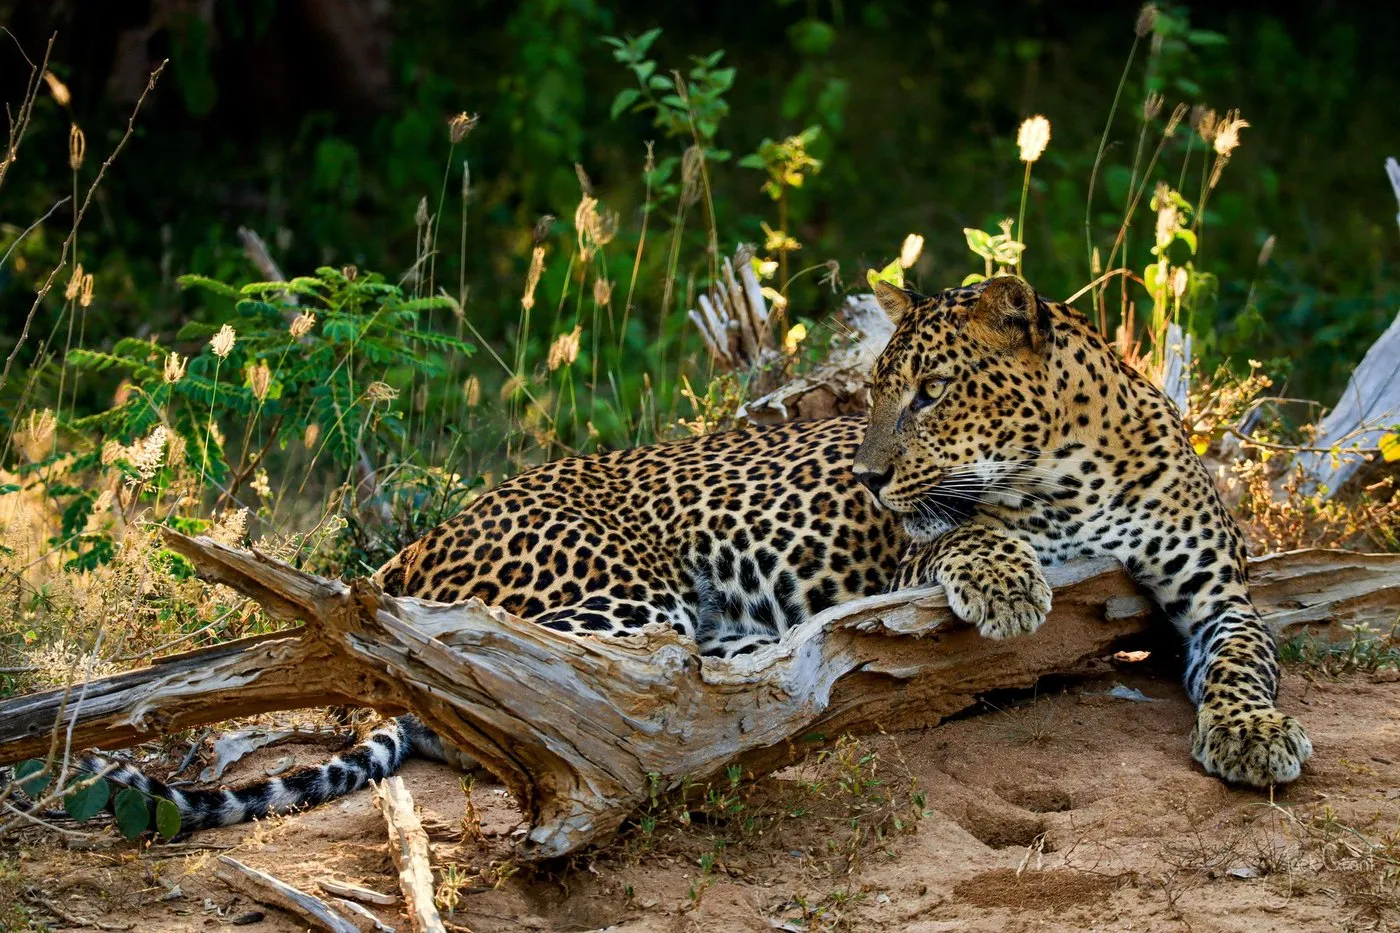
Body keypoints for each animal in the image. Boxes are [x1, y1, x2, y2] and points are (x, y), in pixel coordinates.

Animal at [84, 274, 1311, 833]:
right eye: (876, 395)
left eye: (929, 393)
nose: (867, 473)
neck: (1071, 468)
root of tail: (402, 562)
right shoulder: (908, 555)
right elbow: (965, 528)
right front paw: (1007, 581)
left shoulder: (1219, 593)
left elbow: (1246, 660)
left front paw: (1253, 739)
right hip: (612, 602)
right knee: (514, 706)